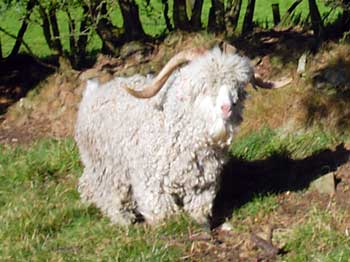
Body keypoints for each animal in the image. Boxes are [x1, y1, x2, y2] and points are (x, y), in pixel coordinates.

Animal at [75, 44, 288, 225]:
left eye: (238, 87)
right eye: (203, 85)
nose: (227, 108)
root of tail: (93, 92)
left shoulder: (203, 185)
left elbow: (199, 209)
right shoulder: (152, 184)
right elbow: (164, 217)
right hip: (103, 162)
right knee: (106, 190)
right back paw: (122, 218)